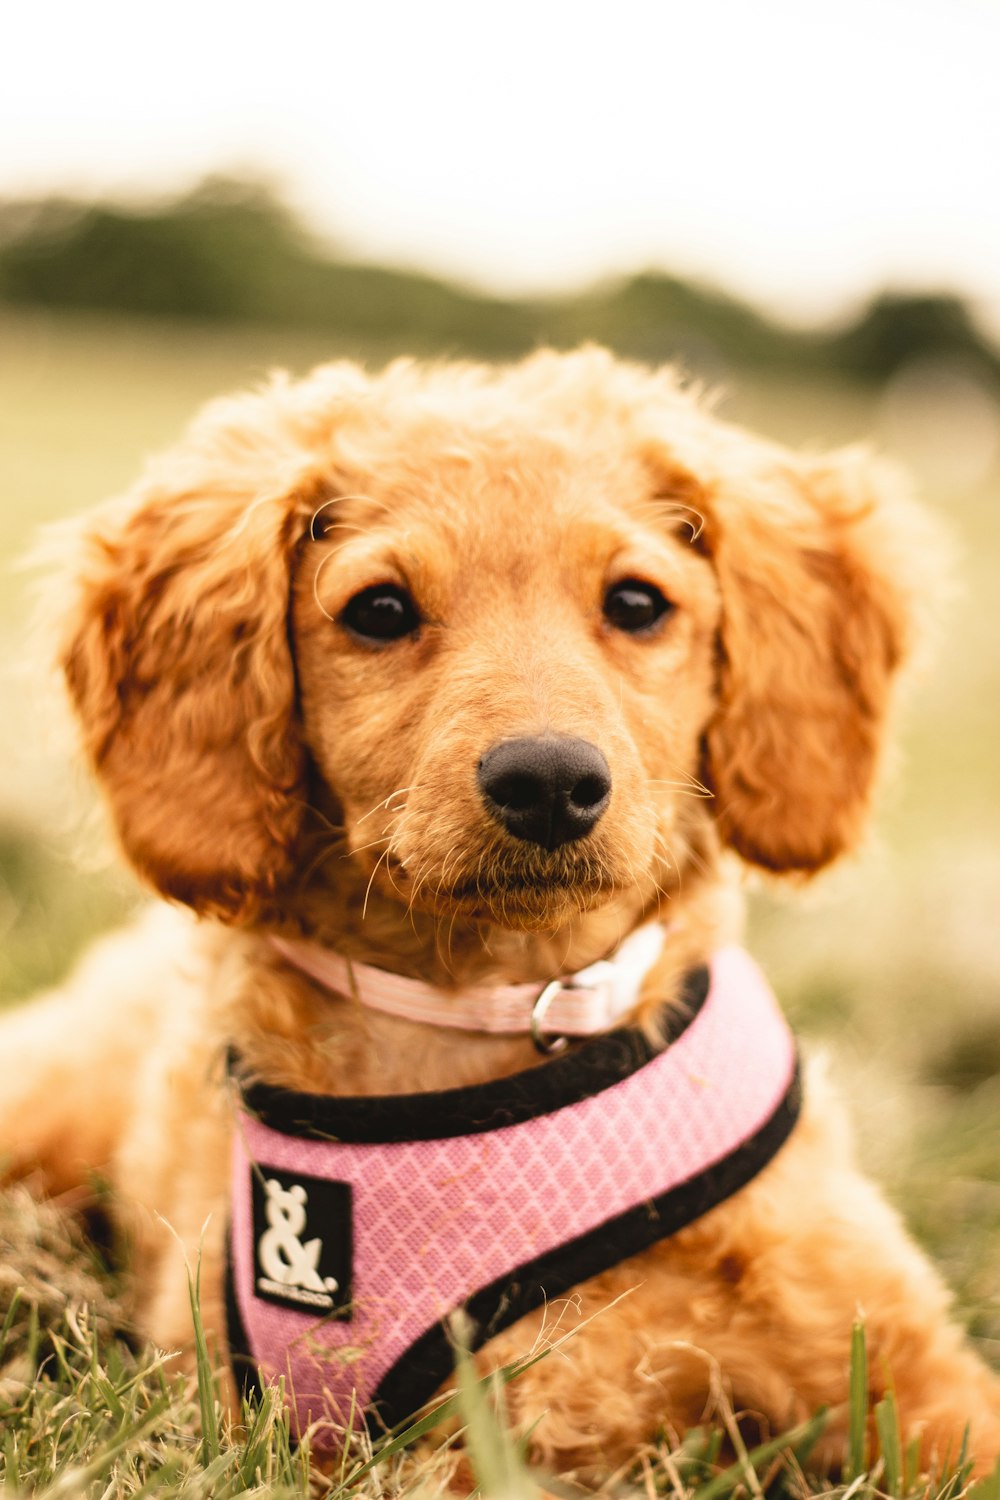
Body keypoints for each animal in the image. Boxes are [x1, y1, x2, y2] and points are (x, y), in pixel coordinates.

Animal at [1, 348, 1000, 1476]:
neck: (500, 1009)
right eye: (380, 611)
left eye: (637, 602)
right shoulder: (320, 1436)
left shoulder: (911, 1367)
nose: (550, 782)